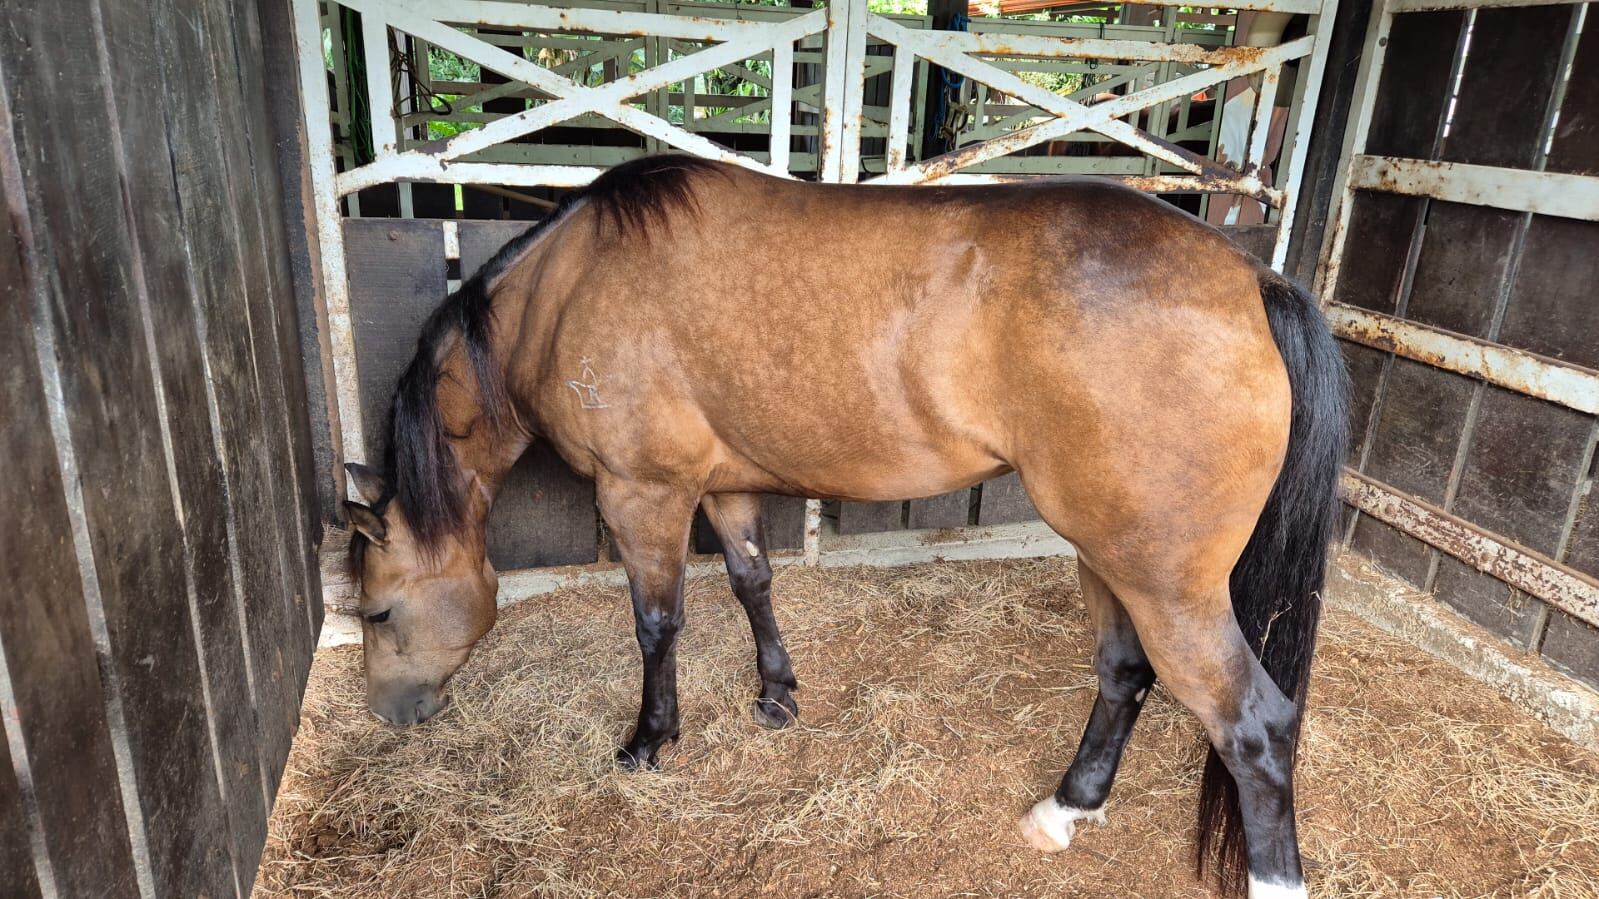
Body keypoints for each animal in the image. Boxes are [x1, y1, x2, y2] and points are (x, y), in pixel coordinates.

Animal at [342, 155, 1348, 898]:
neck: (565, 289)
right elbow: (750, 580)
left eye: (379, 612)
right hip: (1109, 555)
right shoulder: (725, 486)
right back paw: (1066, 808)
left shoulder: (643, 494)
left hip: (1164, 580)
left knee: (1253, 725)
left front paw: (649, 740)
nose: (388, 713)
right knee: (1124, 671)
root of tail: (1251, 278)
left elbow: (657, 624)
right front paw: (776, 695)